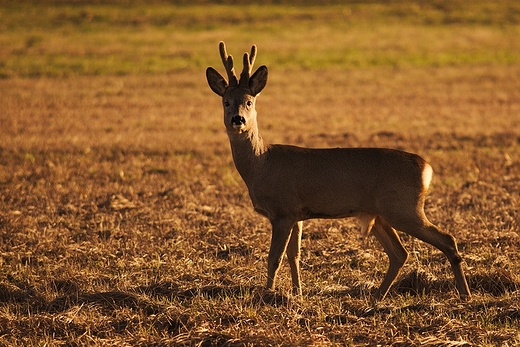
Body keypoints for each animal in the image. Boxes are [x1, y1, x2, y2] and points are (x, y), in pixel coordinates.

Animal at [206, 41, 472, 302]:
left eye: (249, 102)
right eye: (226, 102)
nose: (238, 119)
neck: (261, 163)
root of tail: (427, 168)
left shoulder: (282, 211)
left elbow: (275, 257)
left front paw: (268, 294)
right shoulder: (296, 214)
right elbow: (294, 255)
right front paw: (297, 292)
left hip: (404, 208)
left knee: (446, 239)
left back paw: (464, 294)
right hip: (380, 214)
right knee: (400, 253)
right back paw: (376, 297)